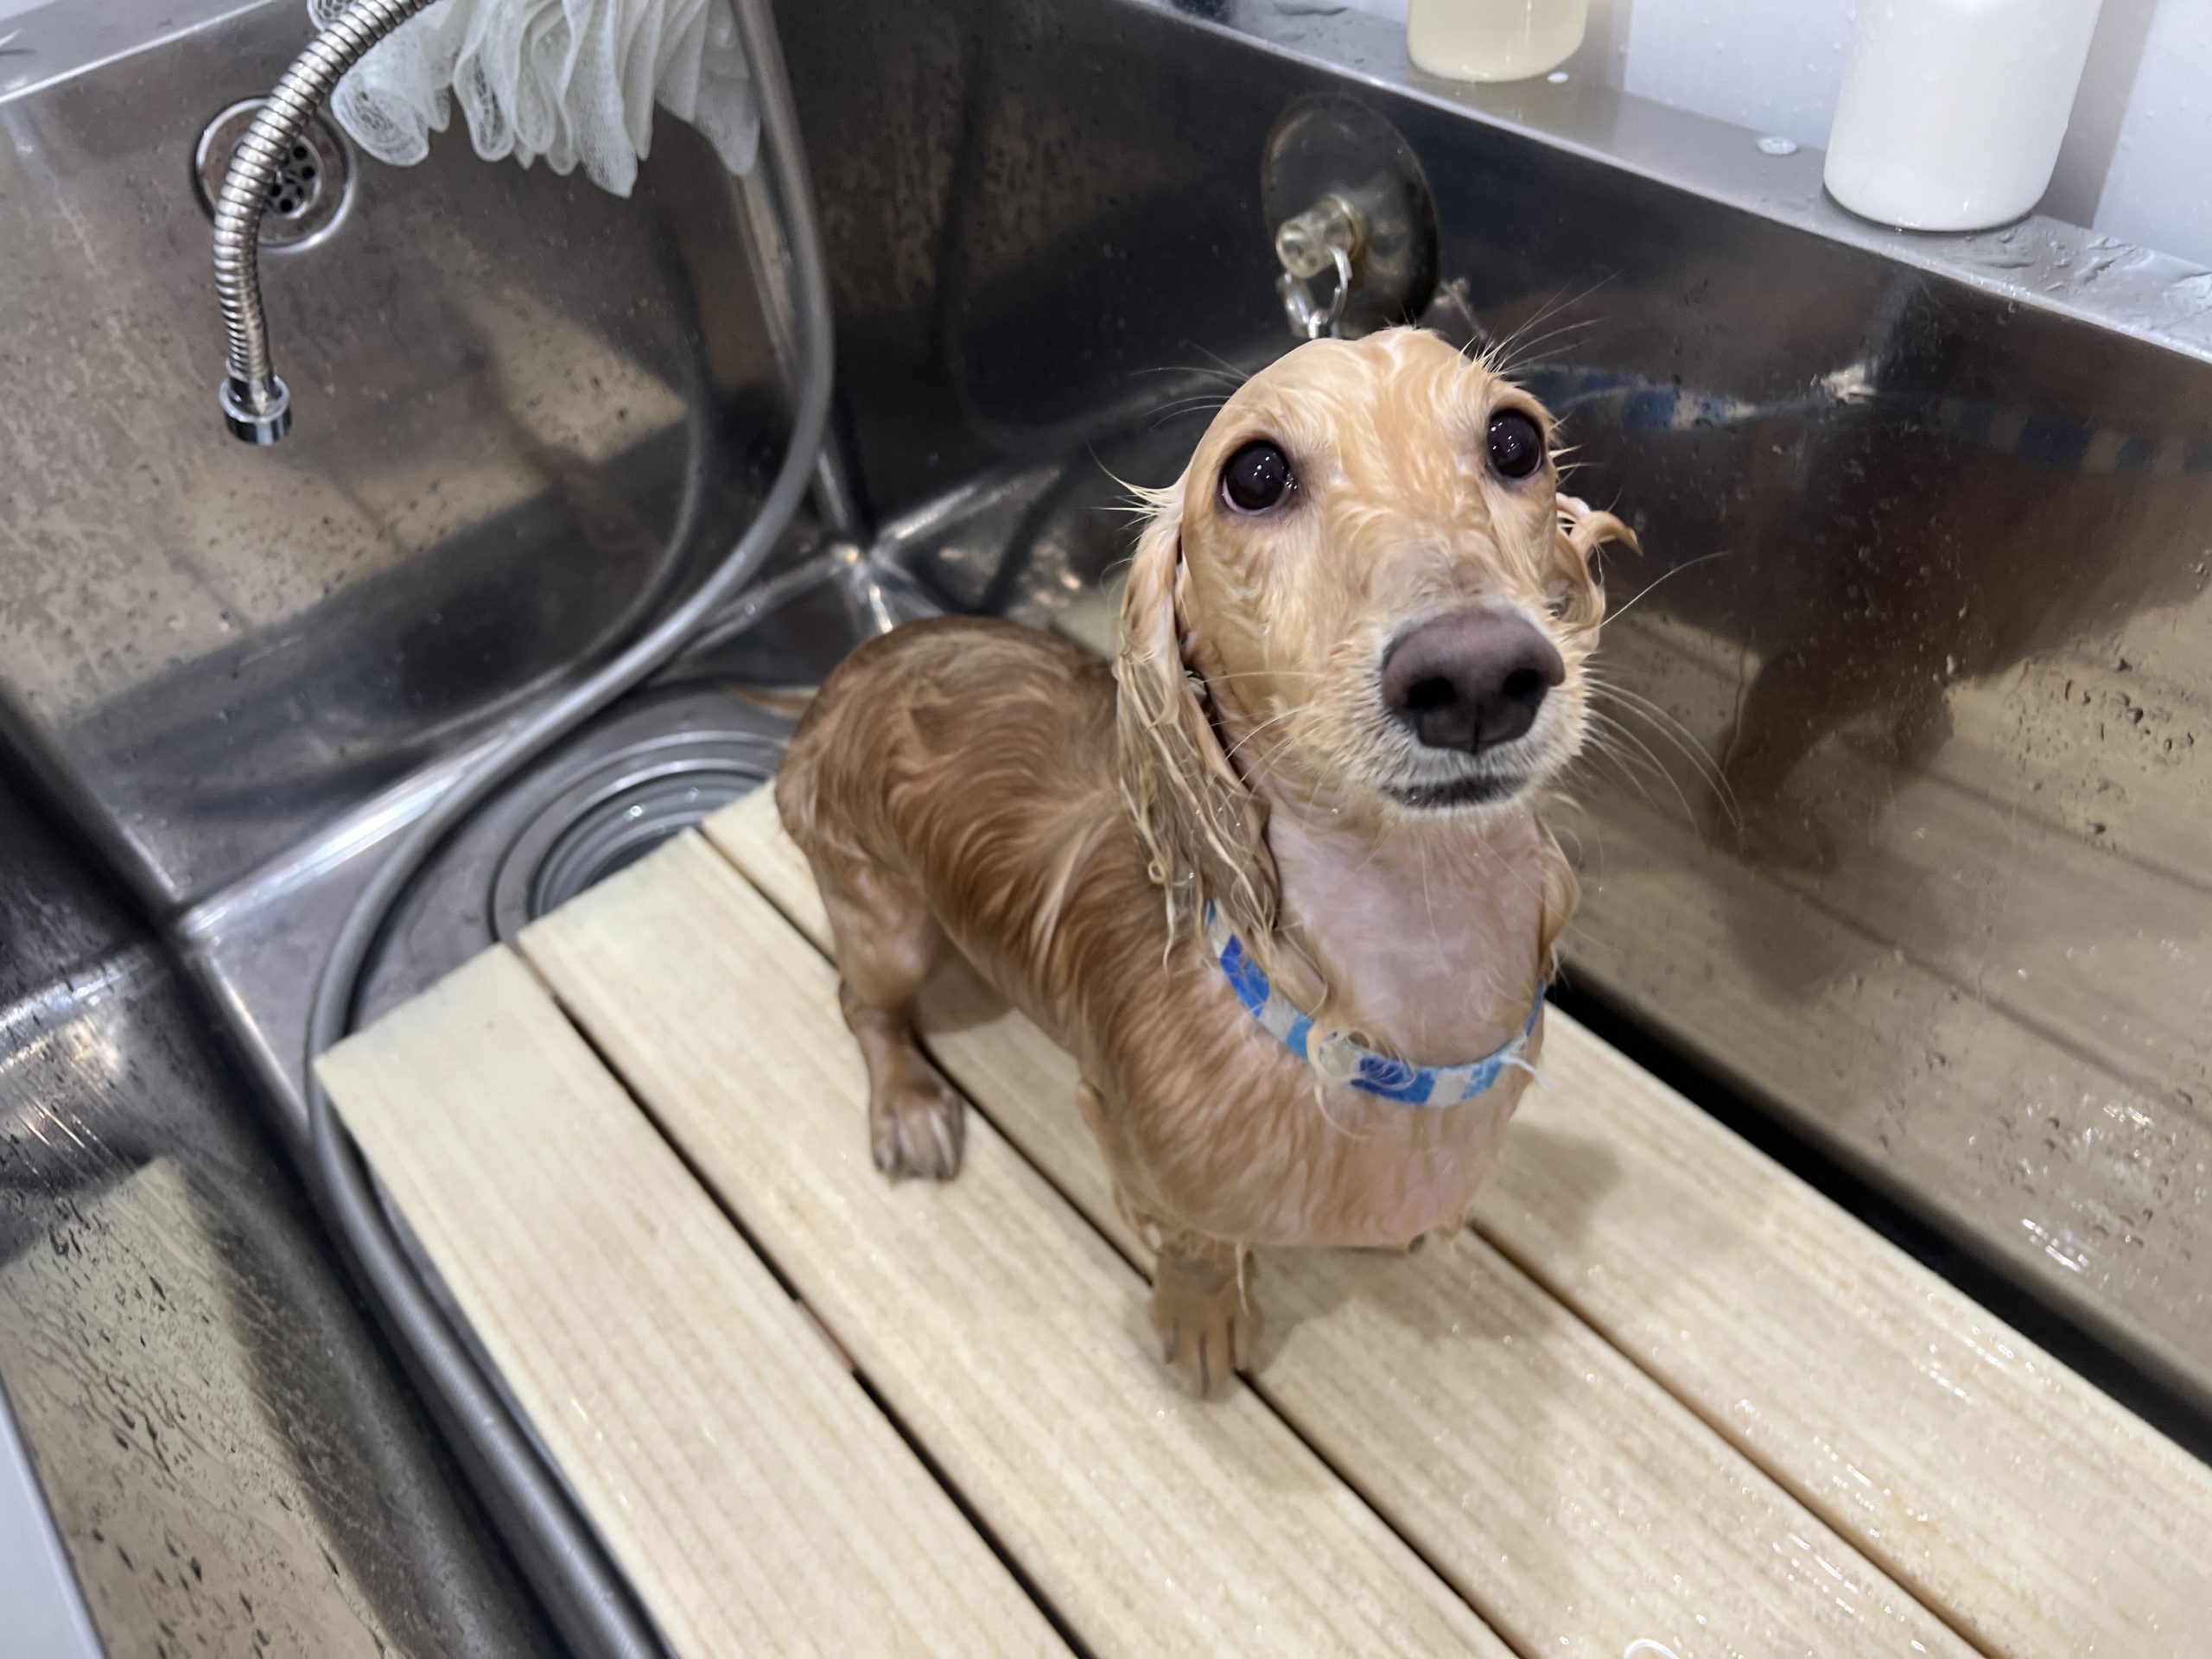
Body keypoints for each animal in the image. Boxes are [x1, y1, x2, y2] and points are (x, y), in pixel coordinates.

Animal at [777, 327, 1632, 1395]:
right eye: (1254, 474)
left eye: (1515, 440)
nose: (1476, 673)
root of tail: (843, 673)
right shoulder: (1125, 1139)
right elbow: (1191, 1245)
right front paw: (1203, 1321)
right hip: (884, 923)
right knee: (863, 1003)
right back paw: (908, 1106)